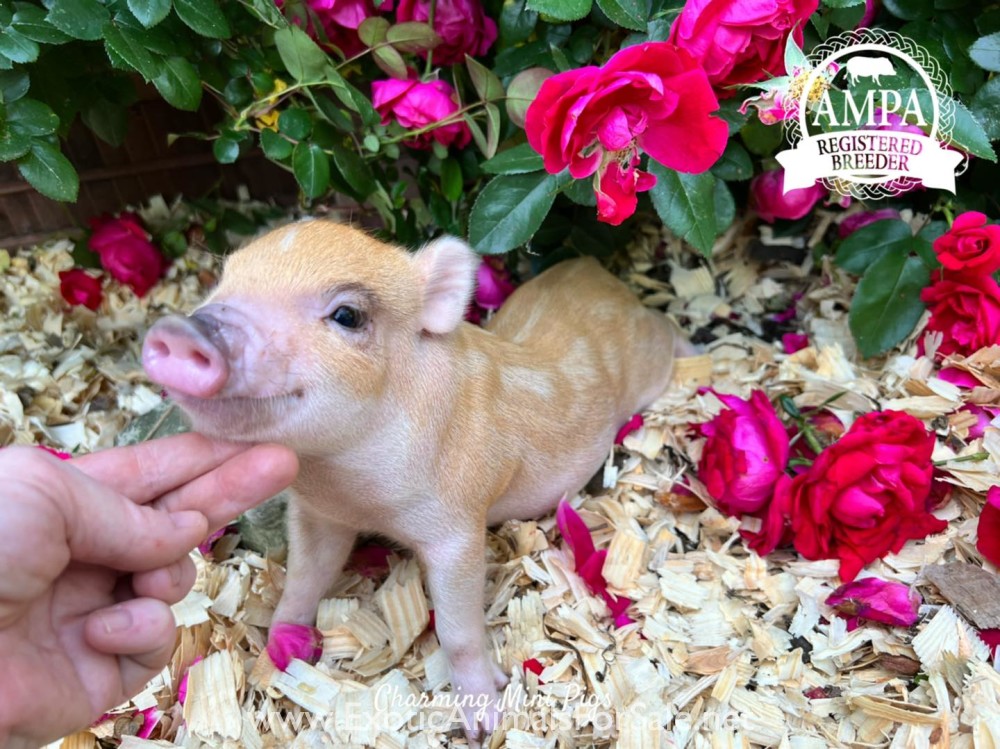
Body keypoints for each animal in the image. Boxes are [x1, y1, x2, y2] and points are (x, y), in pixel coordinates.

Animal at [142, 219, 686, 743]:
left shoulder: (459, 526)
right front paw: (279, 647)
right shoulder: (318, 515)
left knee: (666, 330)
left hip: (651, 358)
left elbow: (458, 630)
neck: (351, 489)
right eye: (223, 281)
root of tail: (598, 272)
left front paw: (484, 724)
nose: (181, 330)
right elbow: (304, 578)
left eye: (347, 315)